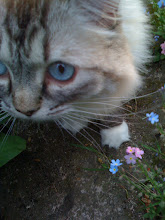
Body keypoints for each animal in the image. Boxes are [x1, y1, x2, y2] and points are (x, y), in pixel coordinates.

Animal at [0, 0, 151, 149]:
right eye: (1, 68)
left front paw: (114, 133)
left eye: (61, 70)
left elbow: (111, 101)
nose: (25, 112)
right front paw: (74, 120)